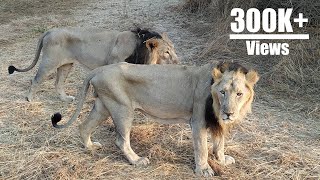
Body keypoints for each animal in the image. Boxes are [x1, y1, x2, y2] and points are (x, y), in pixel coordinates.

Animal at [7, 27, 179, 102]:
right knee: (35, 79)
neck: (139, 47)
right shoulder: (113, 64)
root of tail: (49, 31)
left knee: (58, 83)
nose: (179, 62)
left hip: (66, 65)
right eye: (166, 52)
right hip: (49, 62)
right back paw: (29, 99)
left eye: (173, 49)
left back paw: (66, 99)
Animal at [51, 61, 258, 176]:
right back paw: (137, 161)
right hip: (122, 109)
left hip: (103, 106)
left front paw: (222, 160)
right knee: (121, 140)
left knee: (84, 126)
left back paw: (90, 147)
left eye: (239, 94)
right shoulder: (198, 120)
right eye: (222, 92)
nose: (228, 113)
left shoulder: (218, 122)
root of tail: (98, 70)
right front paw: (204, 170)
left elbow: (219, 143)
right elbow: (202, 149)